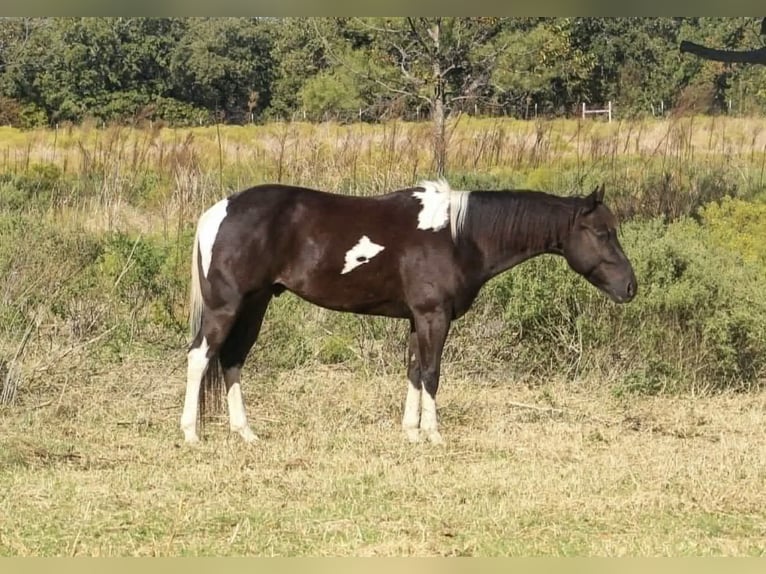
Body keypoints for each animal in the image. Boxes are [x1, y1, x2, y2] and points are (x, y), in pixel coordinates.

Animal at [180, 179, 636, 445]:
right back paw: (191, 433)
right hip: (227, 306)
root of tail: (218, 211)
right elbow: (432, 372)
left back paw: (246, 433)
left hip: (255, 304)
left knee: (232, 359)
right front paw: (433, 435)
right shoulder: (434, 315)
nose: (630, 287)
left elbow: (415, 371)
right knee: (201, 356)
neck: (459, 236)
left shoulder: (418, 319)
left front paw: (411, 432)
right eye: (602, 232)